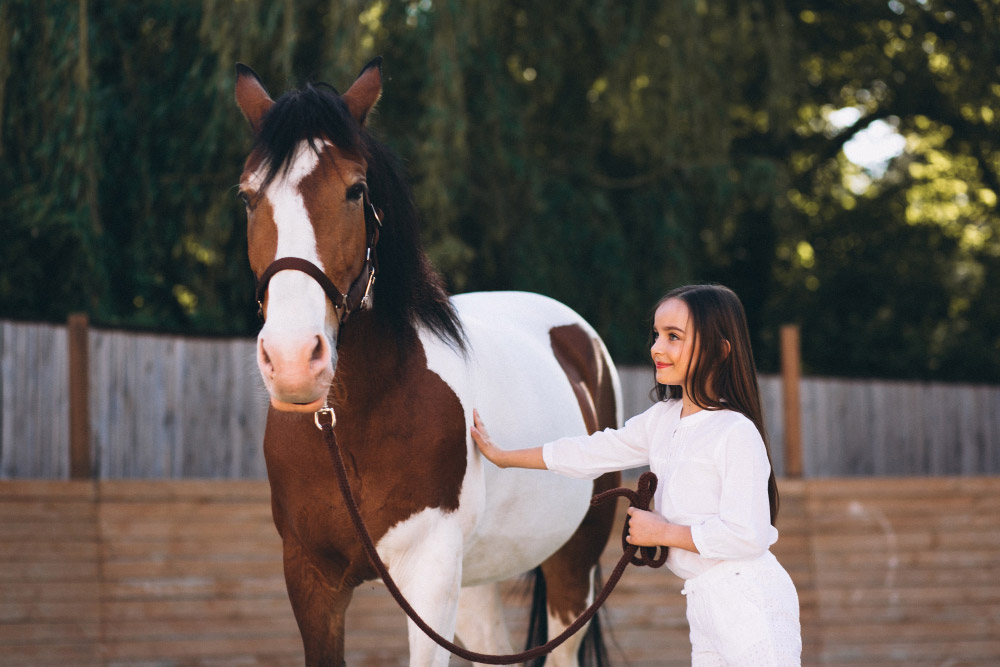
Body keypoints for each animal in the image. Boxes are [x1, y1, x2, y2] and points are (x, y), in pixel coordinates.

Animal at [235, 58, 620, 667]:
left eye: (356, 190)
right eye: (249, 198)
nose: (293, 358)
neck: (351, 426)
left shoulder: (430, 575)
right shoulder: (310, 578)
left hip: (571, 567)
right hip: (479, 578)